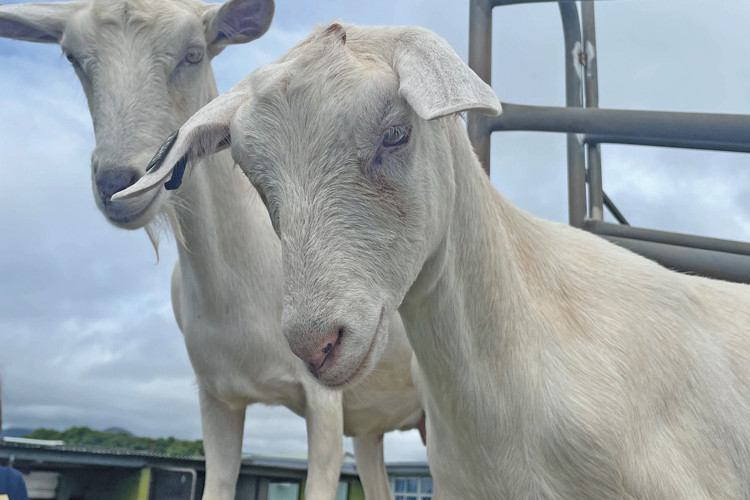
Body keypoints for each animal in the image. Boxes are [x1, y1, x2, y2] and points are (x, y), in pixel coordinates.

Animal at [0, 4, 424, 500]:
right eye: (71, 57)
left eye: (194, 53)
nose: (117, 184)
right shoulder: (216, 395)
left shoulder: (324, 398)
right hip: (373, 425)